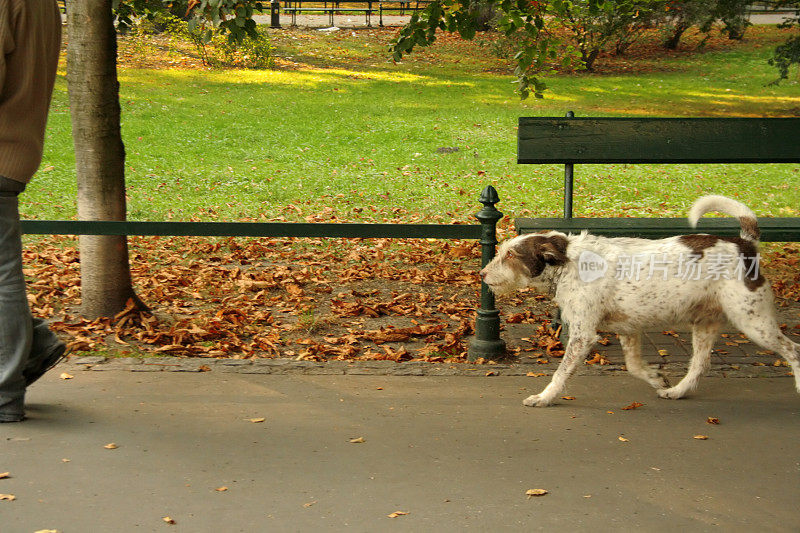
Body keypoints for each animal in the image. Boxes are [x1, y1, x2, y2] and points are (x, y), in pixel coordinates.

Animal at [482, 195, 800, 408]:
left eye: (510, 255)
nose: (482, 273)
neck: (568, 263)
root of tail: (745, 244)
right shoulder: (628, 329)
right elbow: (634, 366)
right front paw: (657, 377)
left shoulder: (583, 335)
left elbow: (561, 374)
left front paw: (544, 397)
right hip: (705, 324)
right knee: (700, 365)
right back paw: (676, 391)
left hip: (753, 321)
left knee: (793, 350)